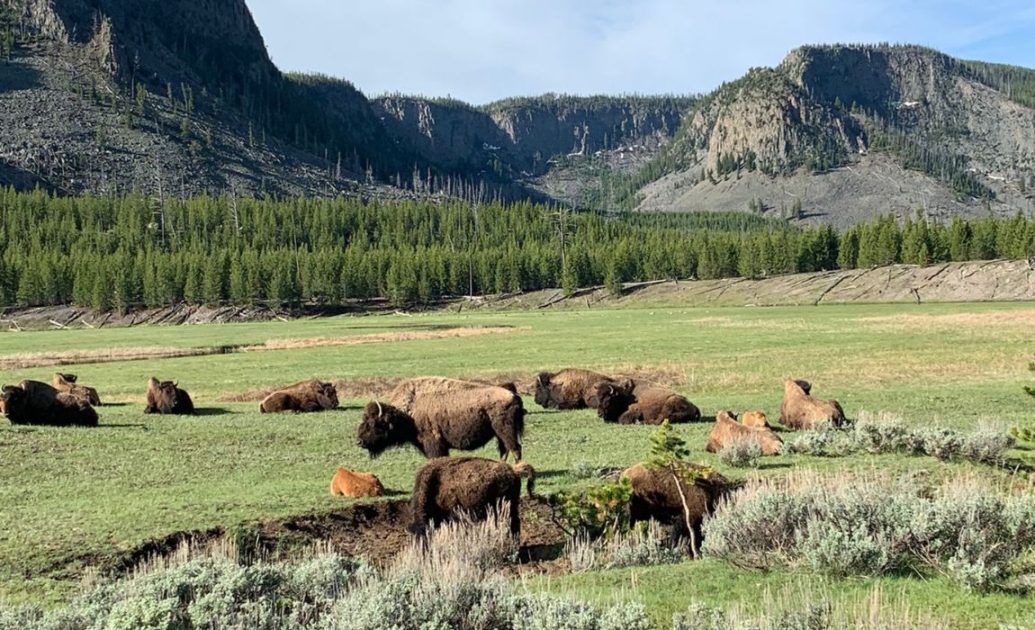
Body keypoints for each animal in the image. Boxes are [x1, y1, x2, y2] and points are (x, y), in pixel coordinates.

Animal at [358, 376, 525, 459]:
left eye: (373, 423)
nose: (359, 441)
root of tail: (513, 395)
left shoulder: (434, 444)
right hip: (499, 434)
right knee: (505, 450)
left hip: (505, 430)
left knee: (515, 449)